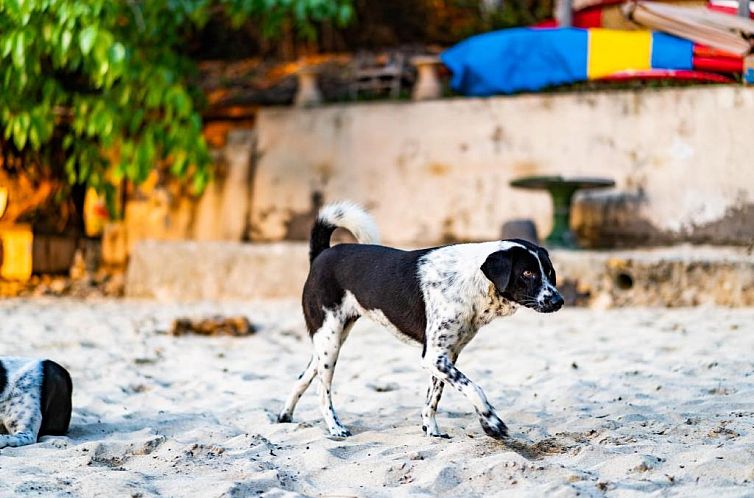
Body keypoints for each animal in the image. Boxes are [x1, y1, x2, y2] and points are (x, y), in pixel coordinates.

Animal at [280, 202, 560, 440]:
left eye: (549, 272)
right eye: (527, 272)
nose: (558, 301)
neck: (472, 283)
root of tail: (322, 254)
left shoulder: (446, 355)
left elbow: (433, 398)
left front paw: (431, 430)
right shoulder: (434, 357)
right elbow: (474, 388)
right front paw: (491, 422)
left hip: (331, 340)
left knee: (304, 375)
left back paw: (285, 415)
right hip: (330, 340)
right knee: (322, 389)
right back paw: (335, 427)